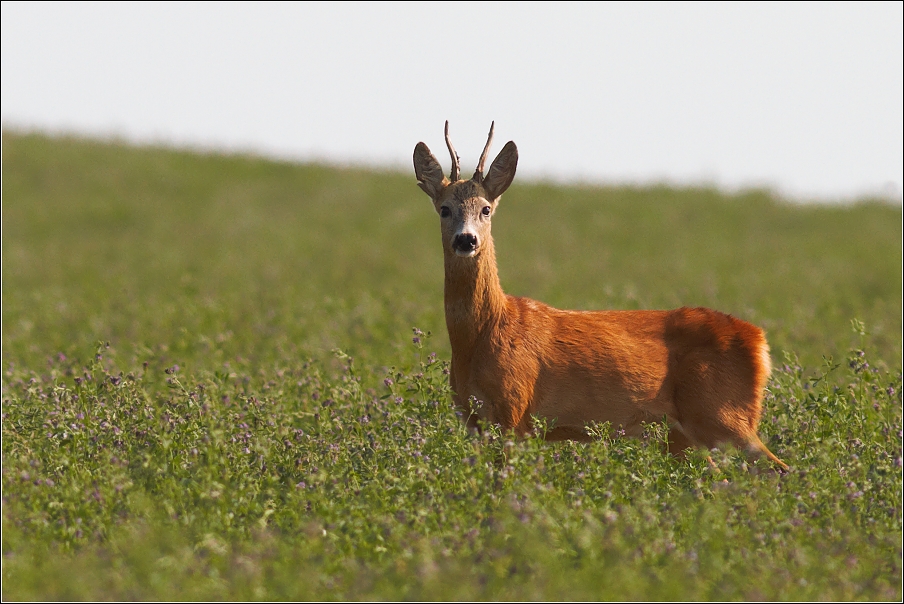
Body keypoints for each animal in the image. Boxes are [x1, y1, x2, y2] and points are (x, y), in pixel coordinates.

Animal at [414, 121, 788, 472]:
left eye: (486, 209)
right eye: (444, 209)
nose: (466, 240)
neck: (485, 332)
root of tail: (759, 340)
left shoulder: (514, 411)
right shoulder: (472, 419)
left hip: (722, 414)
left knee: (779, 468)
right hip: (682, 435)